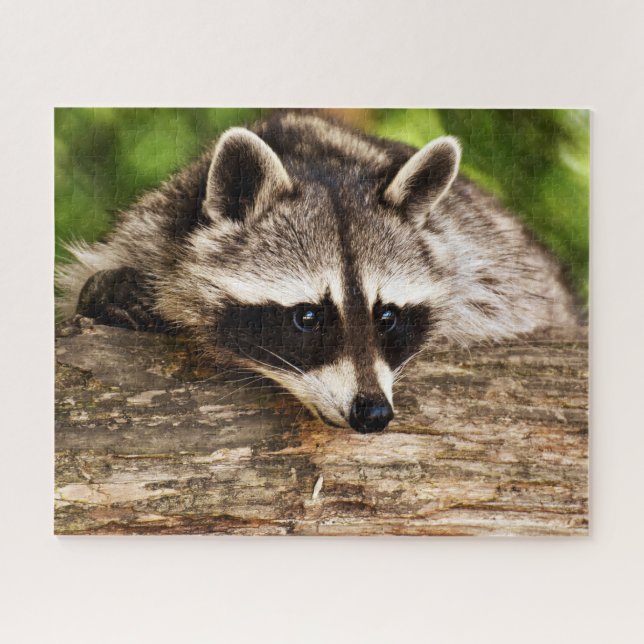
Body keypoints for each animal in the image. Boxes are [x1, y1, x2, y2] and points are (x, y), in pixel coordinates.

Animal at [57, 111, 578, 433]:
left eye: (387, 316)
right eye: (307, 317)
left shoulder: (486, 261)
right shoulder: (153, 227)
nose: (373, 413)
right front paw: (108, 290)